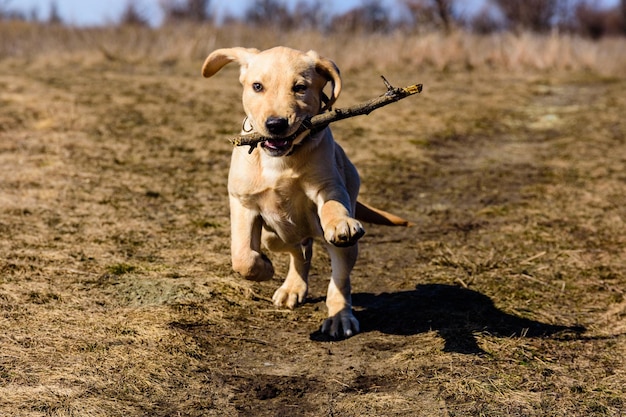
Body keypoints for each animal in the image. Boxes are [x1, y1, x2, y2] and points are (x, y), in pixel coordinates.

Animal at [201, 46, 410, 338]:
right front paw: (264, 268)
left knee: (339, 278)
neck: (281, 160)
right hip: (273, 236)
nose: (276, 124)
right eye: (257, 86)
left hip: (343, 243)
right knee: (300, 251)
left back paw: (339, 316)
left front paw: (341, 222)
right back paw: (292, 287)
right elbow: (242, 256)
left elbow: (333, 204)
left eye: (300, 88)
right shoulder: (243, 203)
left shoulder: (328, 185)